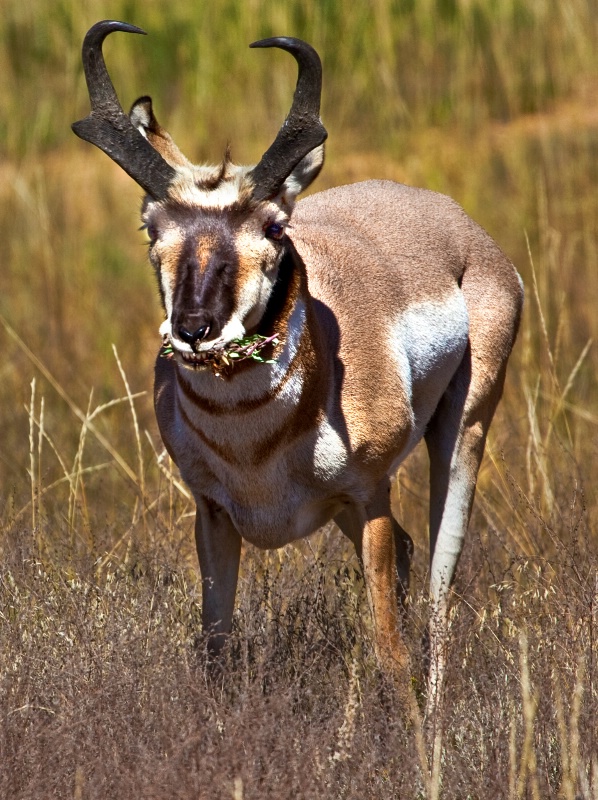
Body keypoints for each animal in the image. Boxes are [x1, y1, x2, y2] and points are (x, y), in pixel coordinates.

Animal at [74, 21, 524, 704]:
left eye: (274, 228)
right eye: (152, 229)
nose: (195, 330)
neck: (254, 447)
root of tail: (457, 223)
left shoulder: (370, 495)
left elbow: (390, 653)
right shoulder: (212, 514)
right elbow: (215, 649)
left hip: (463, 430)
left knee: (441, 586)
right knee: (413, 556)